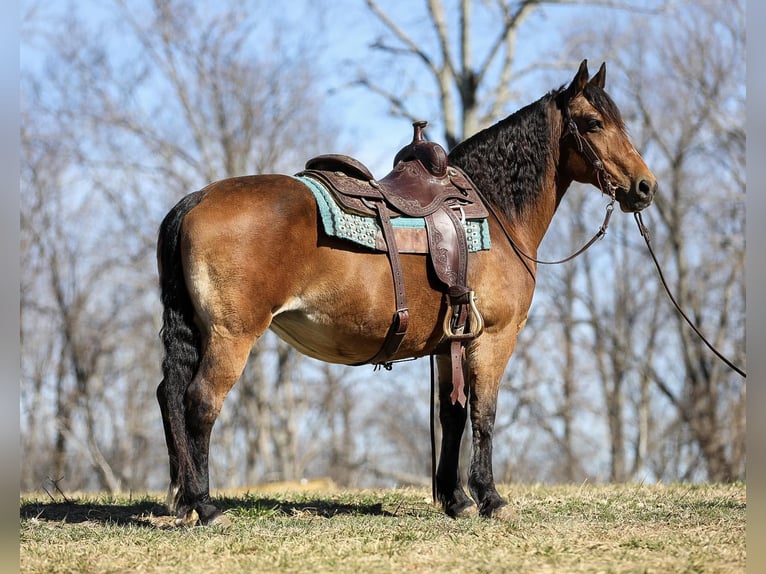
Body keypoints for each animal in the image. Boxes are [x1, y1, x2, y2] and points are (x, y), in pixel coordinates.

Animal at [156, 59, 660, 528]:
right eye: (593, 123)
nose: (645, 187)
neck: (494, 211)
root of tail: (197, 199)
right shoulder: (493, 338)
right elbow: (484, 414)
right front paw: (490, 497)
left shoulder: (449, 343)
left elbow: (452, 415)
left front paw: (456, 499)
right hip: (231, 335)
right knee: (199, 402)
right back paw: (206, 505)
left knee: (170, 394)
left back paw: (184, 502)